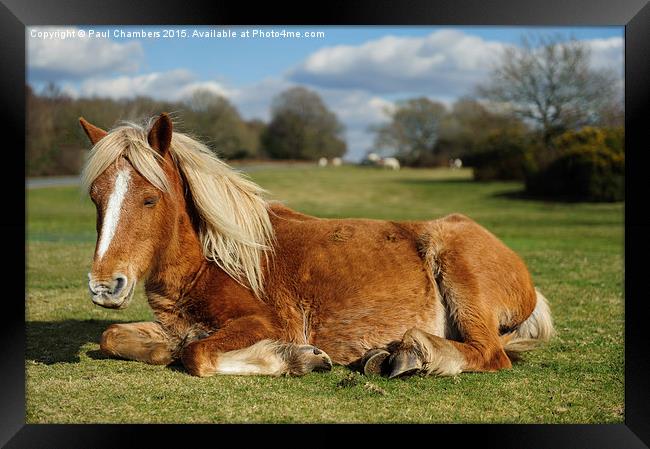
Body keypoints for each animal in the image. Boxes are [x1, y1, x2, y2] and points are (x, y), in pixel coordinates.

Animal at [77, 113, 552, 378]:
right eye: (95, 198)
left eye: (149, 198)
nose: (104, 287)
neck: (213, 260)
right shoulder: (173, 325)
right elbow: (113, 336)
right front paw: (161, 348)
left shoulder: (261, 322)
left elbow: (196, 355)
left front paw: (295, 359)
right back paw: (388, 356)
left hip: (458, 269)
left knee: (488, 353)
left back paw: (413, 355)